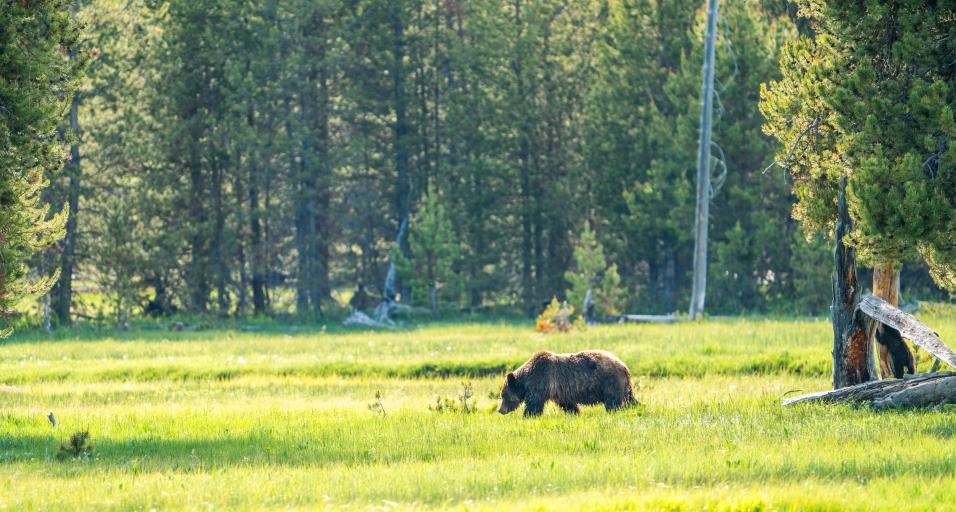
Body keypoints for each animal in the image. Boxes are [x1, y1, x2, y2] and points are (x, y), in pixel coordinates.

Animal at [497, 350, 637, 416]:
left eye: (503, 395)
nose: (500, 410)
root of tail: (625, 366)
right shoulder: (559, 391)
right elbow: (567, 403)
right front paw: (575, 412)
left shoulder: (541, 381)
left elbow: (534, 403)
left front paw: (528, 415)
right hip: (624, 385)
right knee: (630, 398)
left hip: (609, 382)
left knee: (612, 402)